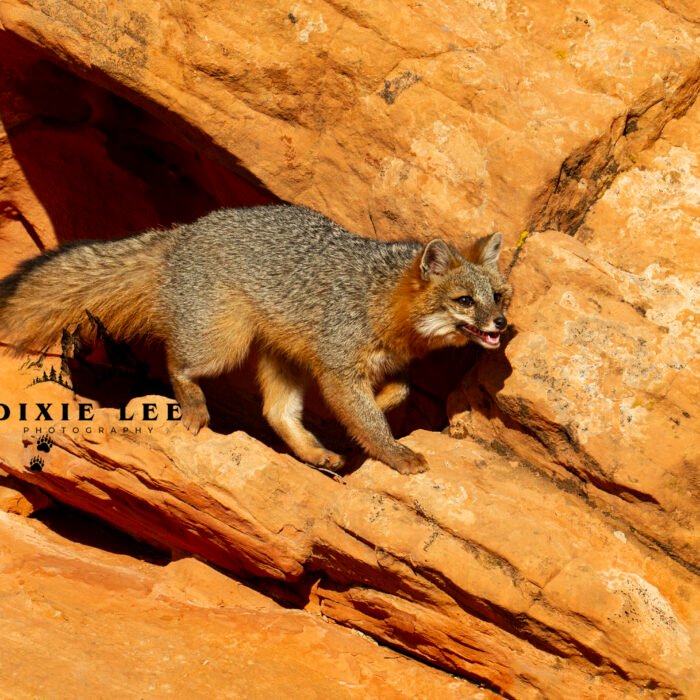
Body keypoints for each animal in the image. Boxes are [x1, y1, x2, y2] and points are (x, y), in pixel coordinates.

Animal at [0, 205, 511, 474]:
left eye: (499, 296)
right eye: (466, 301)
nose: (502, 324)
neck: (378, 296)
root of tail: (181, 232)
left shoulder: (365, 366)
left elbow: (397, 391)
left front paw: (378, 408)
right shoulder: (338, 366)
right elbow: (367, 422)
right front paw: (394, 452)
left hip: (279, 358)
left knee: (275, 412)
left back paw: (313, 451)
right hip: (224, 345)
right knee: (177, 362)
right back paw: (193, 406)